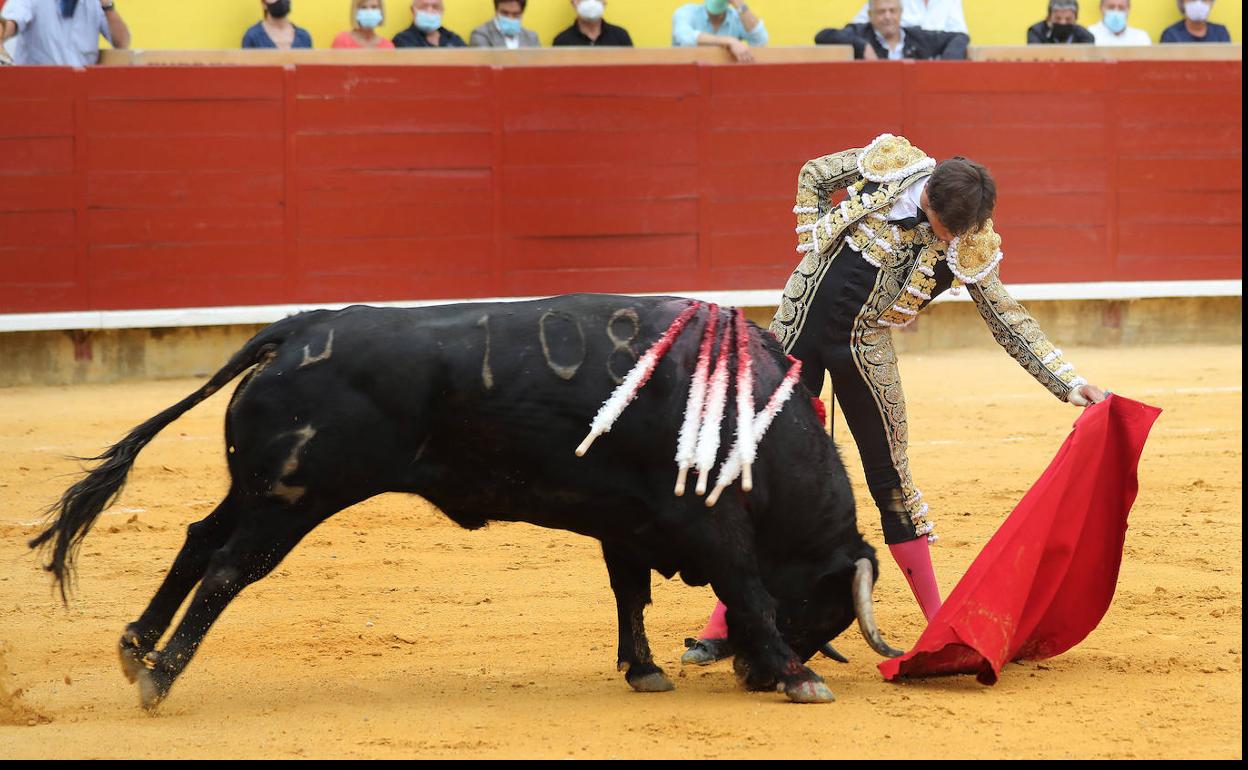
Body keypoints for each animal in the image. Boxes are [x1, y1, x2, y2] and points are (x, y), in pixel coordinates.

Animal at [34, 294, 903, 708]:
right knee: (224, 571)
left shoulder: (626, 521)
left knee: (194, 540)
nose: (751, 675)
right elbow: (747, 590)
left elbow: (630, 595)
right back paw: (158, 679)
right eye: (826, 607)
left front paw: (645, 669)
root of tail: (300, 326)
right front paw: (799, 677)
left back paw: (135, 647)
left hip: (255, 487)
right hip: (294, 498)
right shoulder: (709, 523)